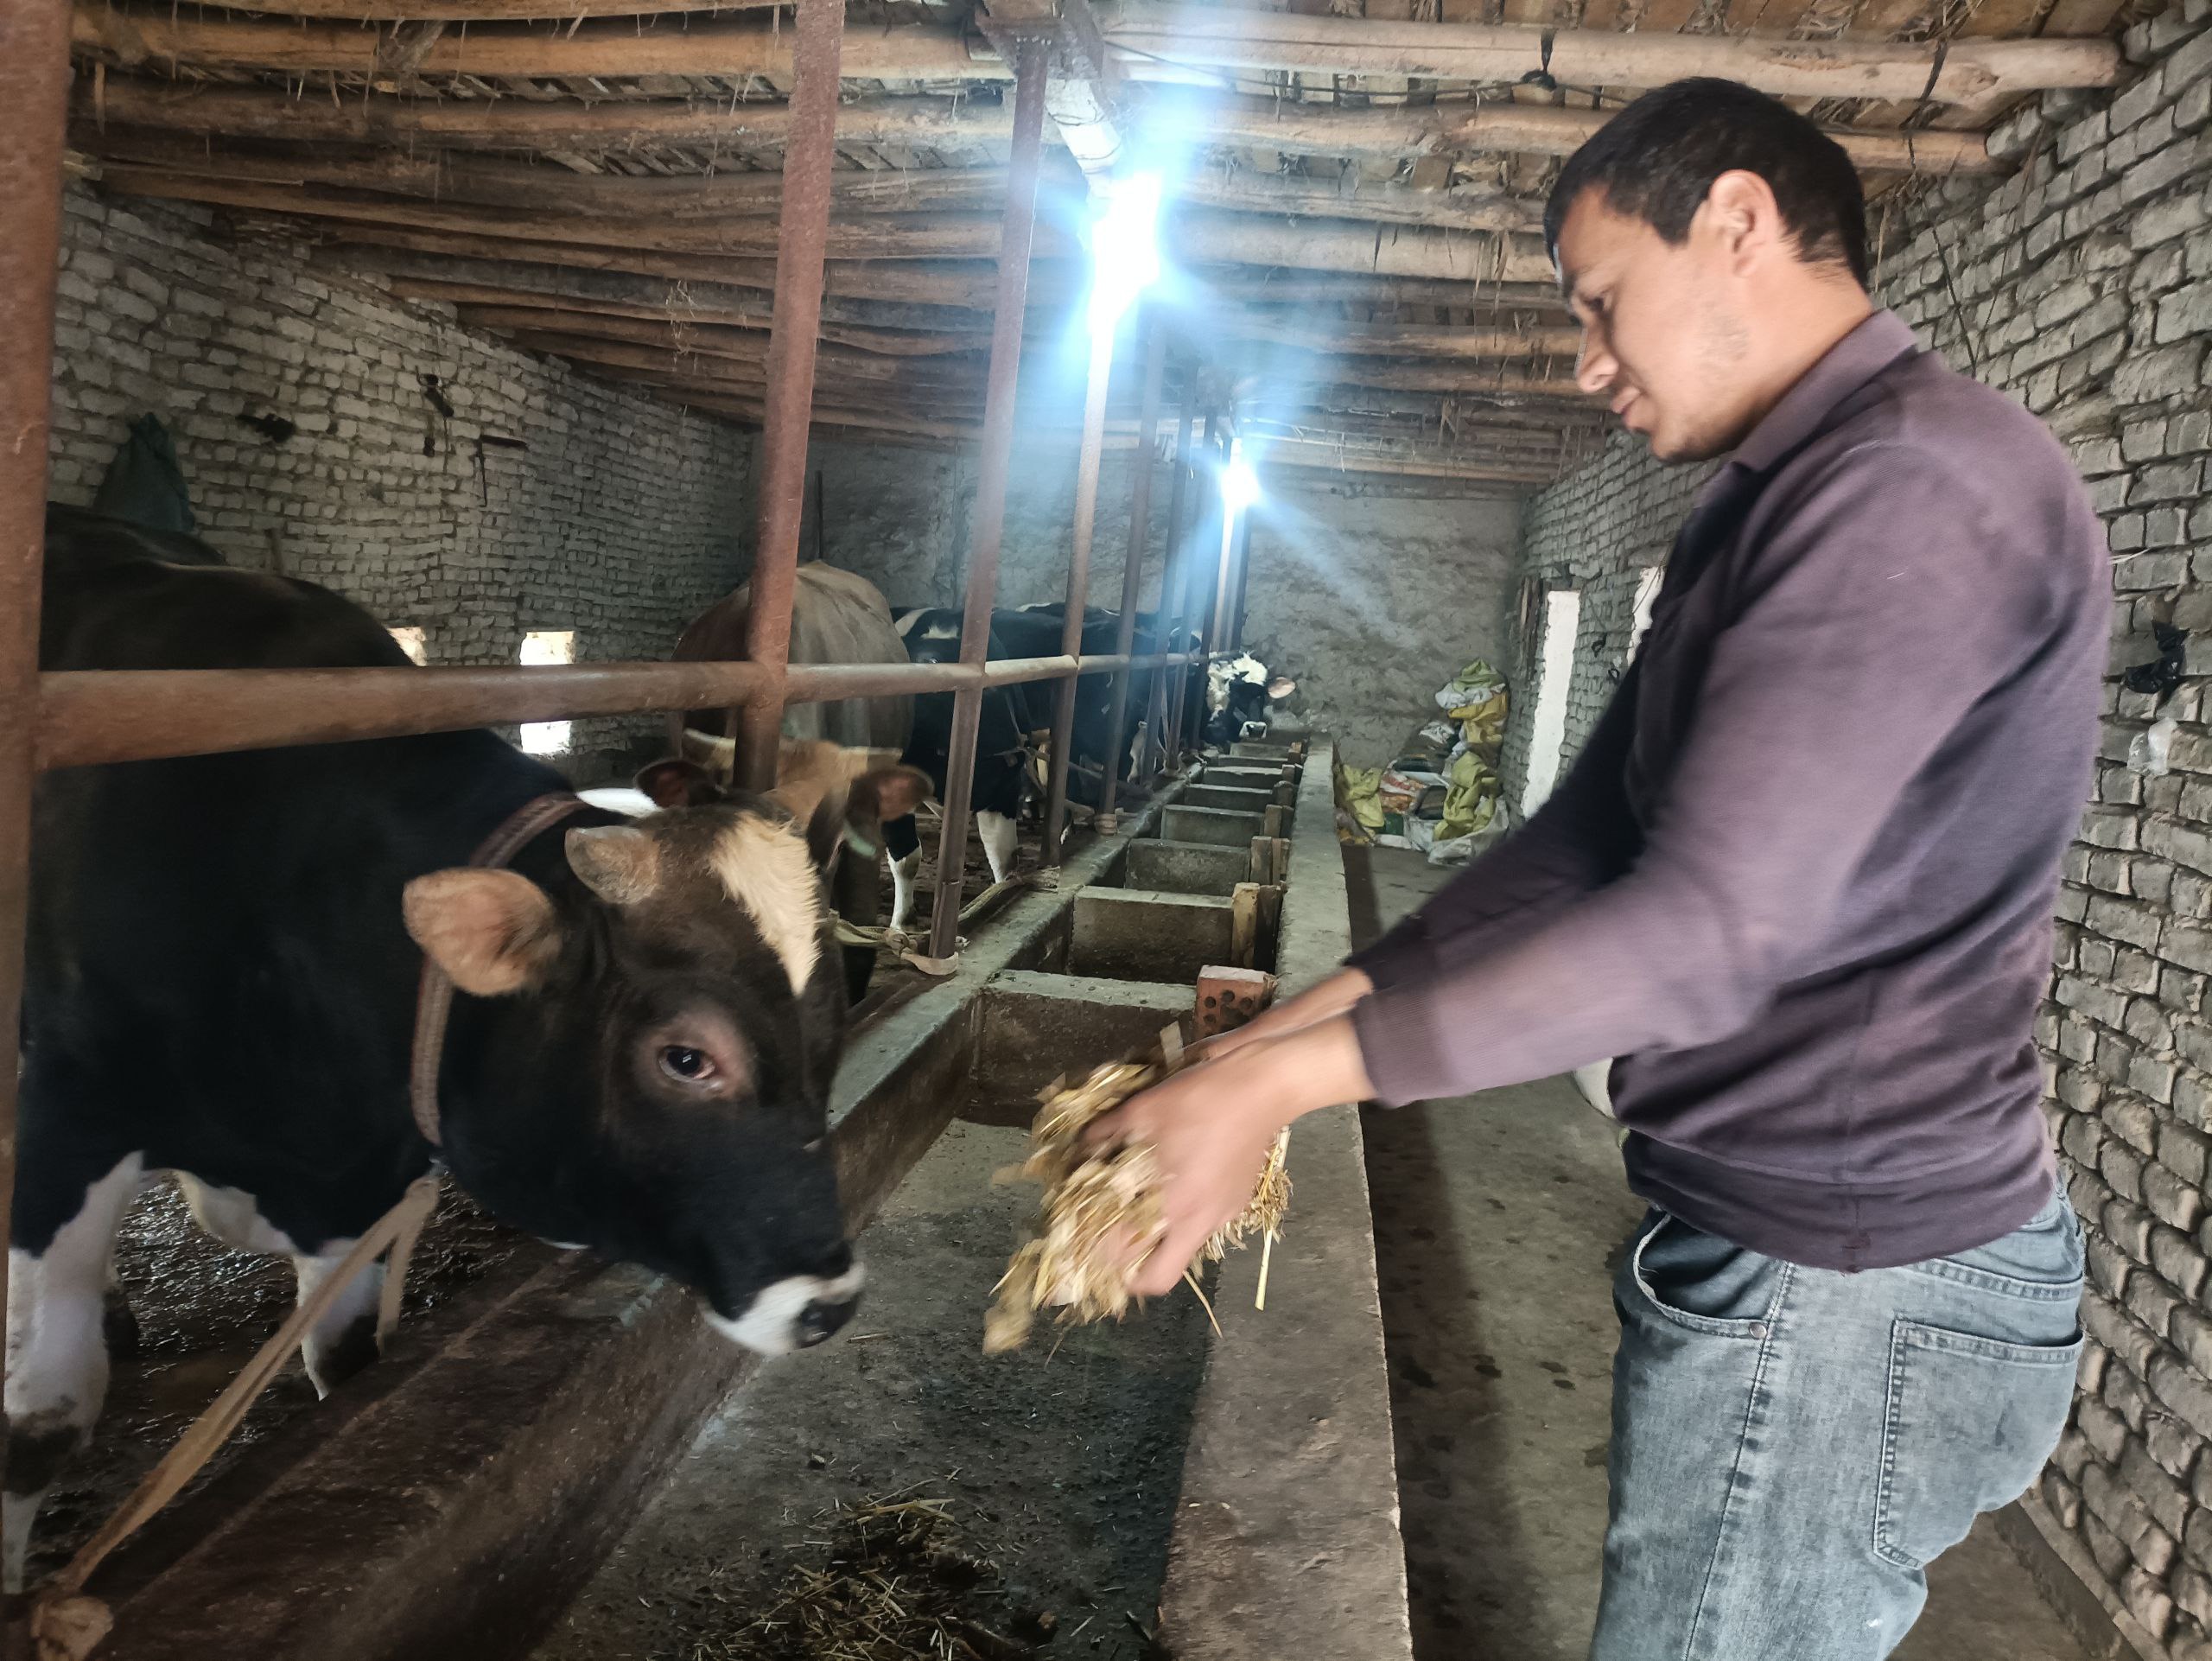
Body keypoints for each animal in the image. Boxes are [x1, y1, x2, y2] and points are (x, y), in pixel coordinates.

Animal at [14, 509, 922, 1587]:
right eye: (685, 1056)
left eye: (826, 1024)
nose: (827, 1300)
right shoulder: (68, 1116)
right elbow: (37, 1430)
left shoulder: (355, 1179)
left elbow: (345, 1359)